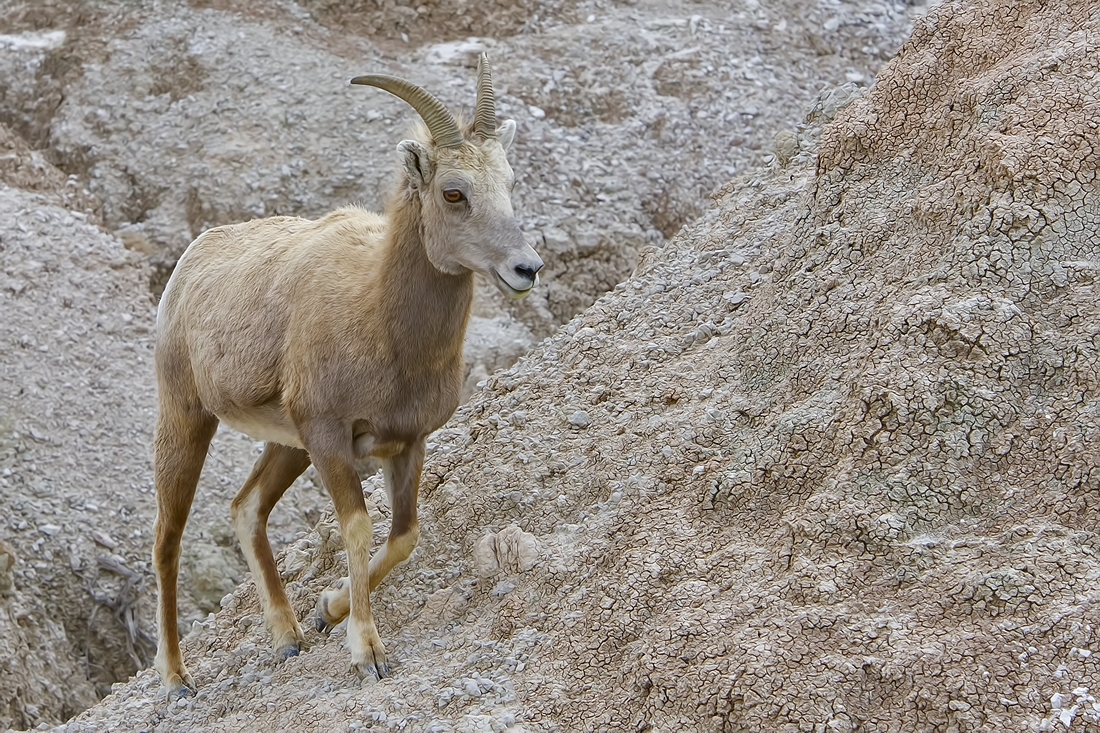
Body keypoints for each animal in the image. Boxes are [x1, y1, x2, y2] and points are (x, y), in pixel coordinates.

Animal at [151, 54, 541, 695]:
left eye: (510, 185)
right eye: (453, 192)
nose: (526, 268)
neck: (379, 320)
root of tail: (190, 262)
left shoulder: (405, 442)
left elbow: (404, 535)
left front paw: (326, 612)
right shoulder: (331, 437)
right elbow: (357, 529)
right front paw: (368, 653)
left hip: (288, 445)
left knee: (246, 508)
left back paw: (289, 637)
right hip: (188, 416)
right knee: (168, 536)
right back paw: (178, 678)